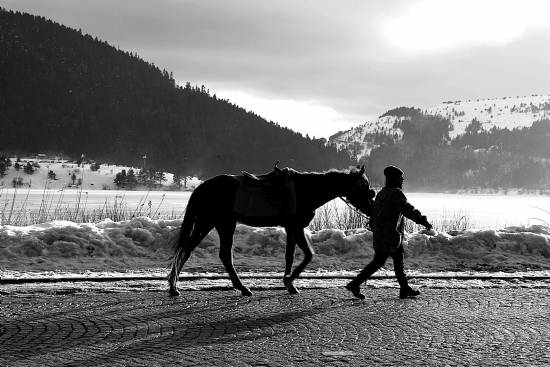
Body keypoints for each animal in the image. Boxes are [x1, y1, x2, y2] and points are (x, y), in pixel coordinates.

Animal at [167, 165, 376, 298]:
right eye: (364, 187)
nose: (371, 207)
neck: (306, 190)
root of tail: (203, 187)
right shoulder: (295, 227)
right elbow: (309, 254)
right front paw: (289, 280)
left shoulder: (291, 228)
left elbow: (290, 256)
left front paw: (289, 283)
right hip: (225, 223)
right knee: (224, 254)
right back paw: (242, 287)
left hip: (206, 222)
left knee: (187, 249)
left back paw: (173, 285)